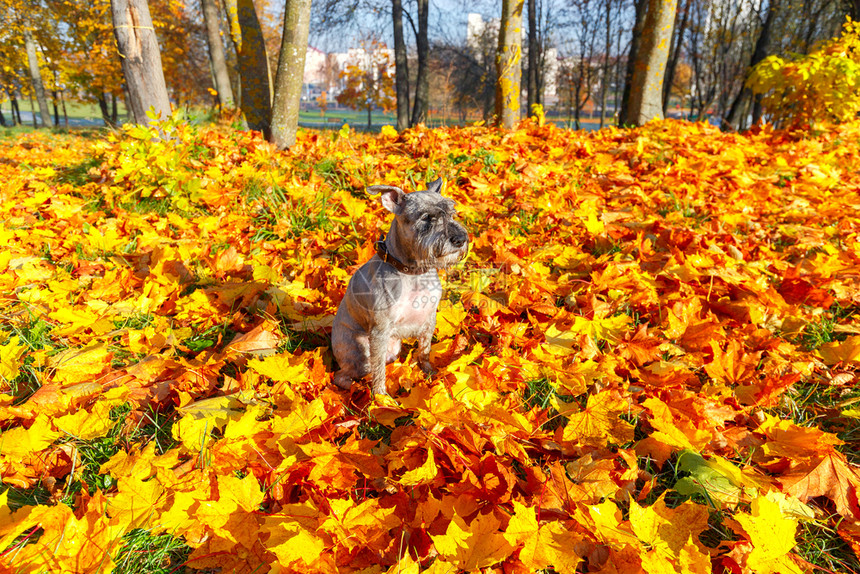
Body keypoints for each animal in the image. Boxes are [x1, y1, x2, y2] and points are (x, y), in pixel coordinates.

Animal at [332, 180, 470, 396]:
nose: (460, 239)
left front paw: (428, 372)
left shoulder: (429, 319)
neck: (413, 273)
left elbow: (425, 350)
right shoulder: (379, 332)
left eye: (451, 212)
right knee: (344, 375)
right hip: (359, 354)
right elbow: (378, 370)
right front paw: (381, 397)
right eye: (426, 217)